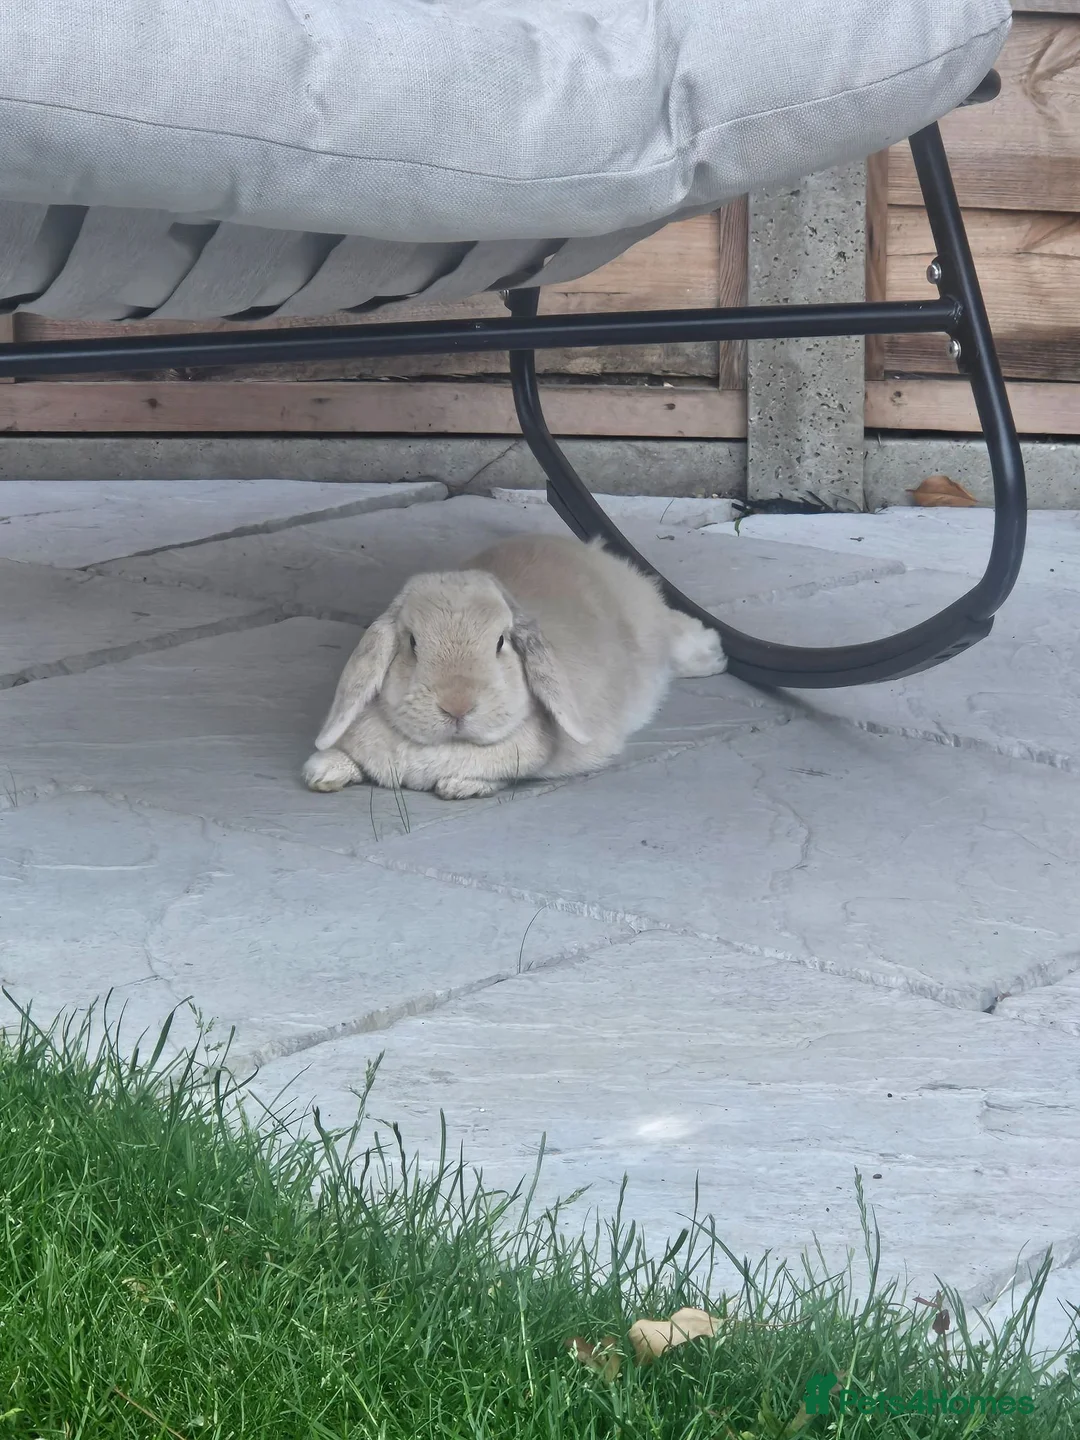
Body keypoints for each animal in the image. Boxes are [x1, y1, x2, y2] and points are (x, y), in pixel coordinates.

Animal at [302, 532, 727, 801]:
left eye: (500, 642)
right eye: (412, 643)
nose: (457, 706)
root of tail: (594, 553)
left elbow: (503, 775)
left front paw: (461, 786)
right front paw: (322, 771)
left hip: (651, 627)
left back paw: (713, 654)